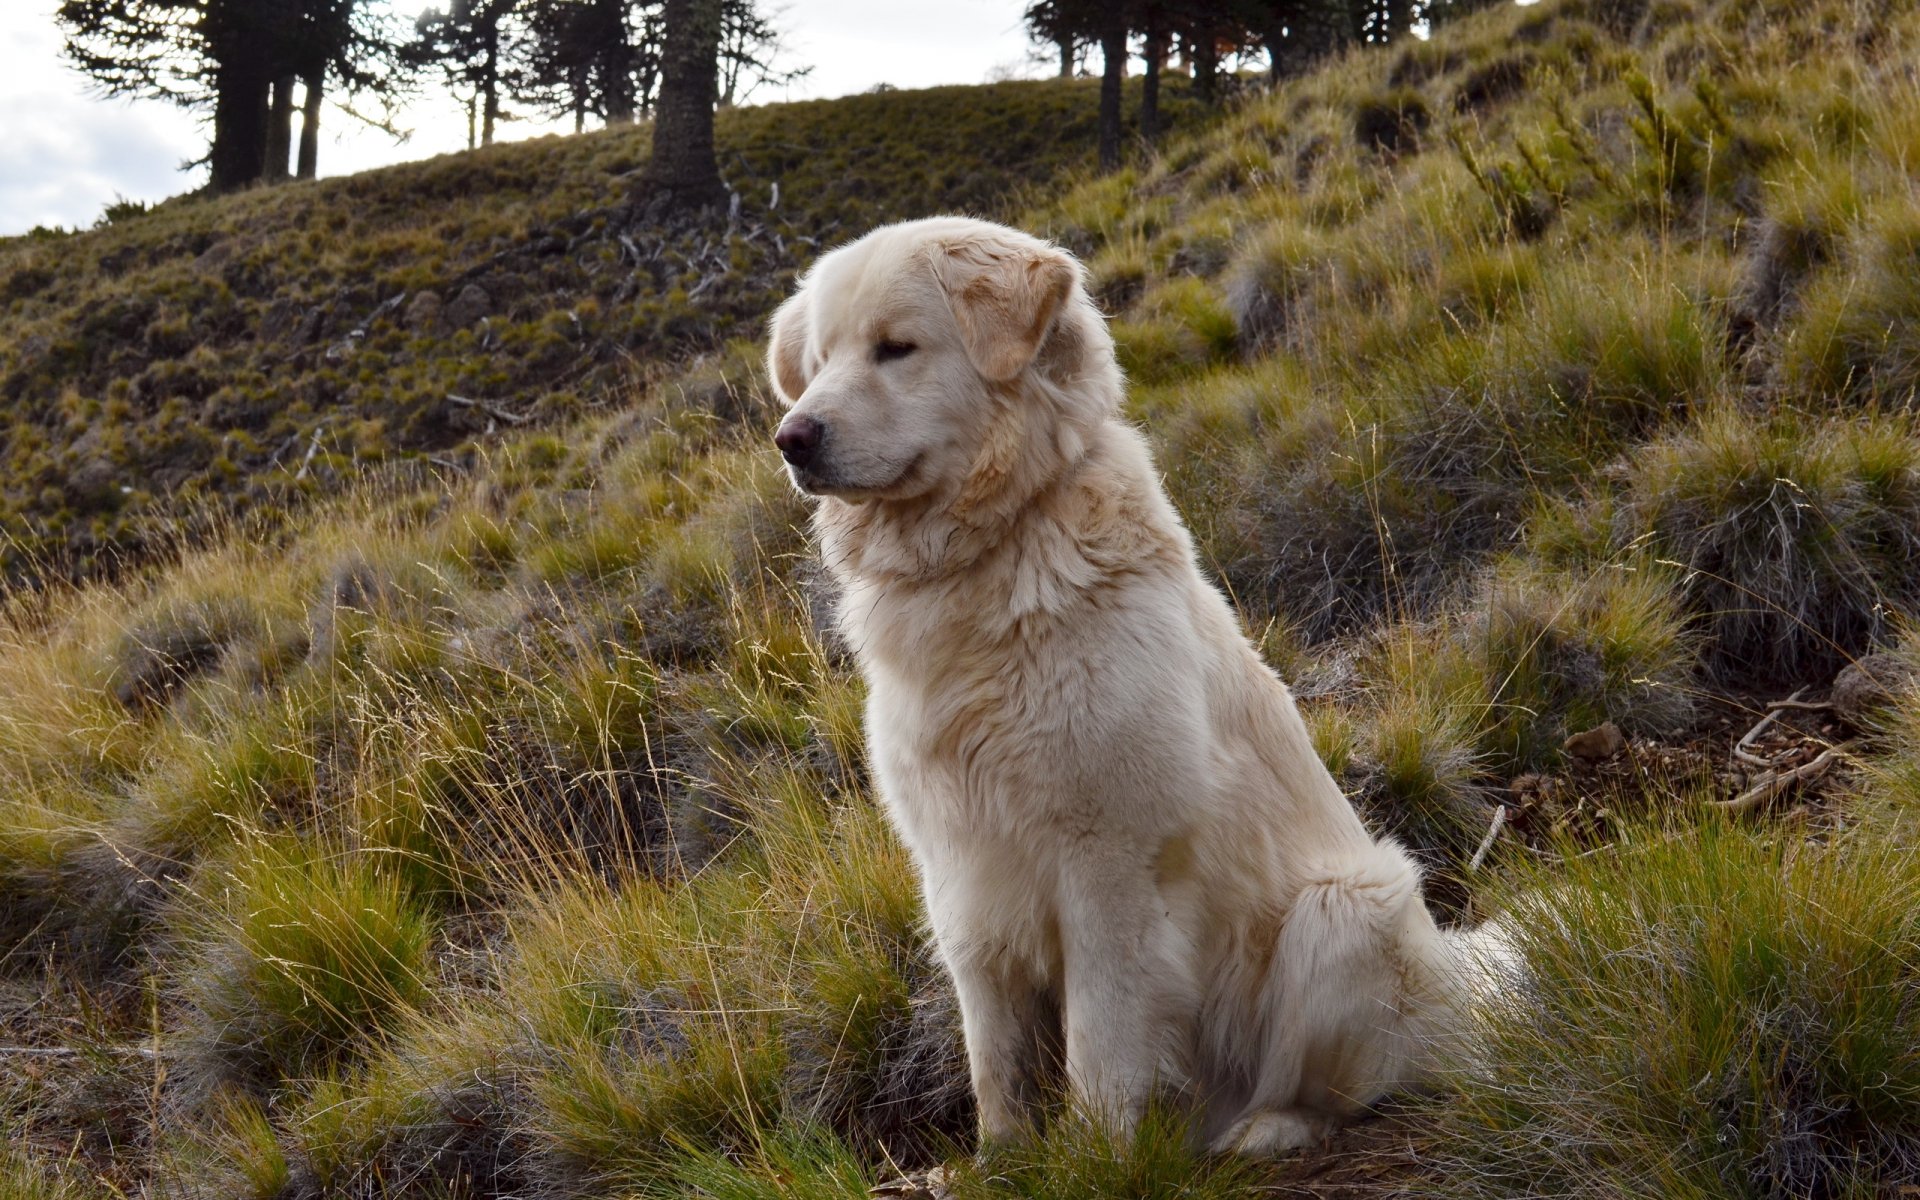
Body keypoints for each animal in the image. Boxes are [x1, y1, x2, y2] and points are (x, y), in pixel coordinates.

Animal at [764, 215, 1497, 1152]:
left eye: (897, 348)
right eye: (820, 361)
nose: (794, 436)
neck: (988, 563)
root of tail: (1469, 1001)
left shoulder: (1108, 861)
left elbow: (1102, 1042)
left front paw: (1101, 1158)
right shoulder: (961, 872)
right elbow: (994, 1050)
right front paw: (1000, 1160)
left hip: (1344, 909)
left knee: (1355, 1089)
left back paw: (1265, 1131)